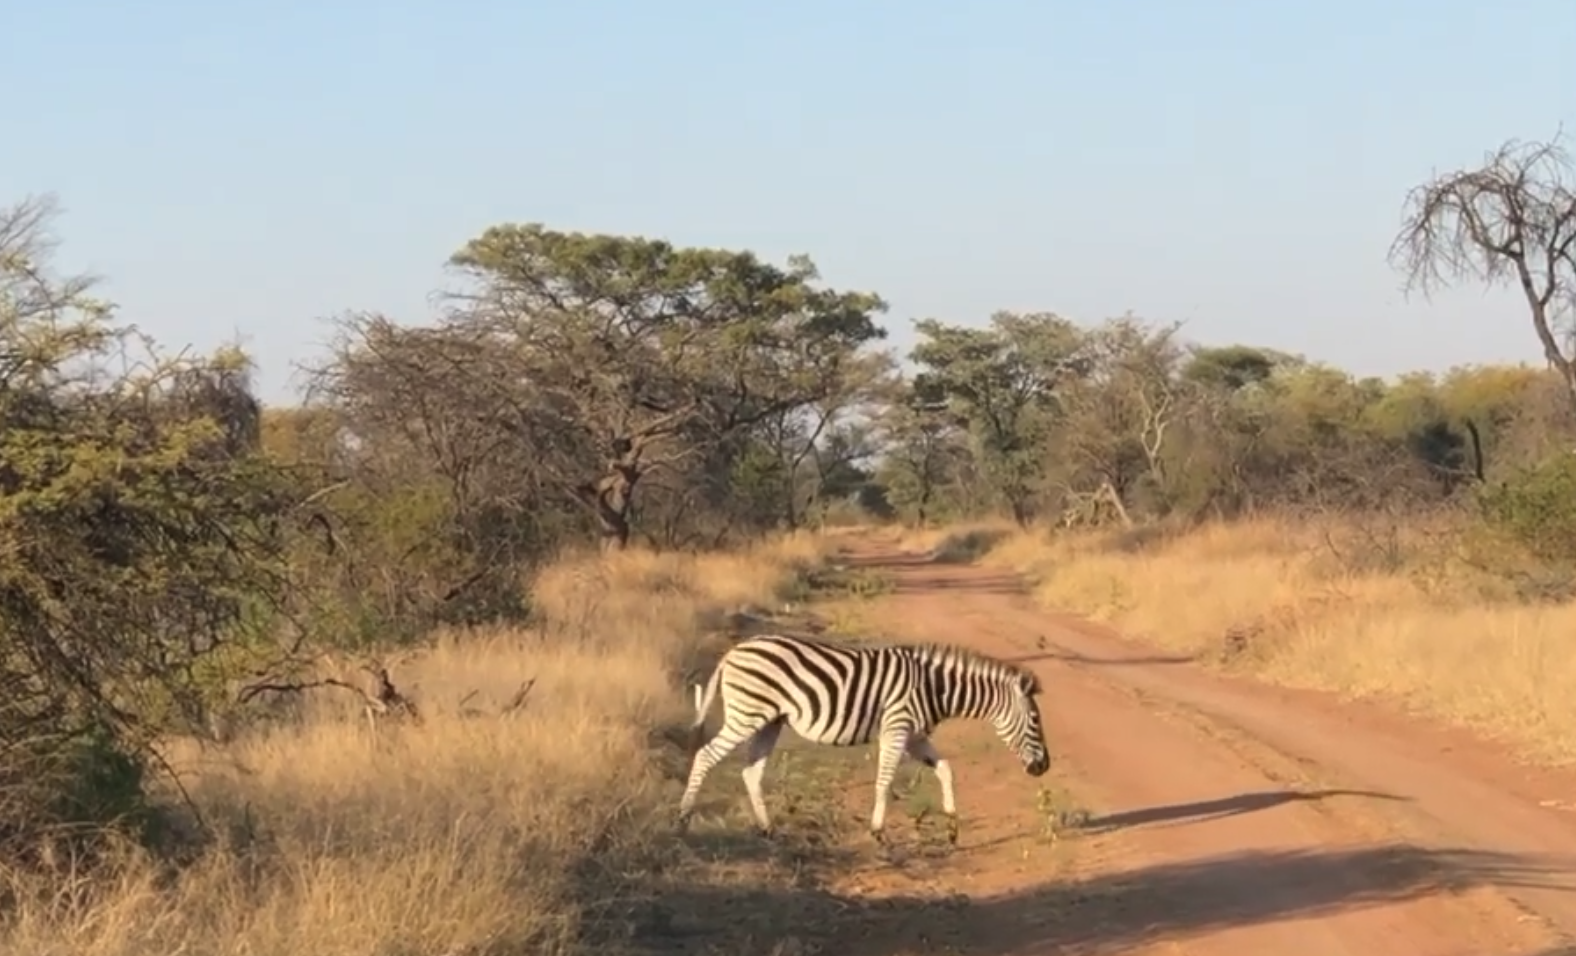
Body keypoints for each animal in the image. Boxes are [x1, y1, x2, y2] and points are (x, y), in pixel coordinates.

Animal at [674, 636, 1052, 844]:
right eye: (1035, 720)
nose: (1044, 767)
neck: (935, 688)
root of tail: (734, 651)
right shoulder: (897, 727)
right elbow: (884, 781)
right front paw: (878, 832)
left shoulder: (914, 735)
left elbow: (945, 769)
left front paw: (952, 828)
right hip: (747, 715)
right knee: (705, 755)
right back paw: (682, 821)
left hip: (770, 721)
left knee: (751, 771)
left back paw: (767, 829)